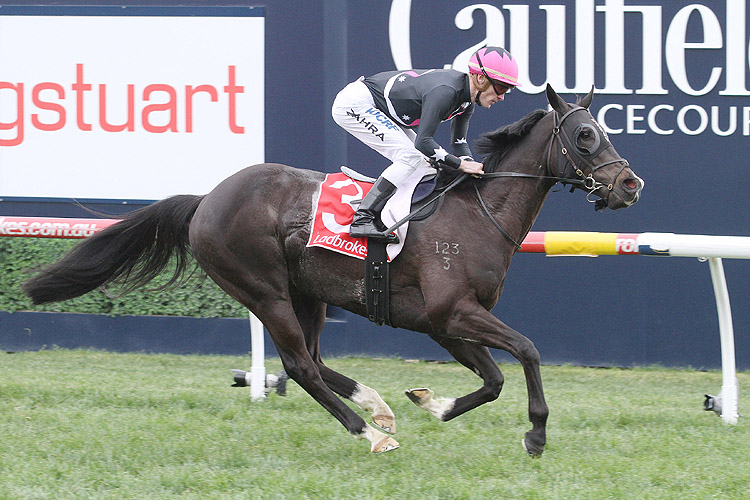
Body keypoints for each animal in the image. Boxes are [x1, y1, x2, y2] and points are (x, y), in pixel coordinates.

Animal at [23, 87, 648, 458]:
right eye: (586, 135)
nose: (629, 184)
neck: (475, 214)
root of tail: (206, 200)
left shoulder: (444, 323)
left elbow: (493, 379)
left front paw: (434, 403)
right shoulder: (453, 313)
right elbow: (528, 351)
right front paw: (537, 433)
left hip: (308, 294)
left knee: (314, 361)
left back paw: (378, 408)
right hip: (264, 290)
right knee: (300, 366)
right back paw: (368, 431)